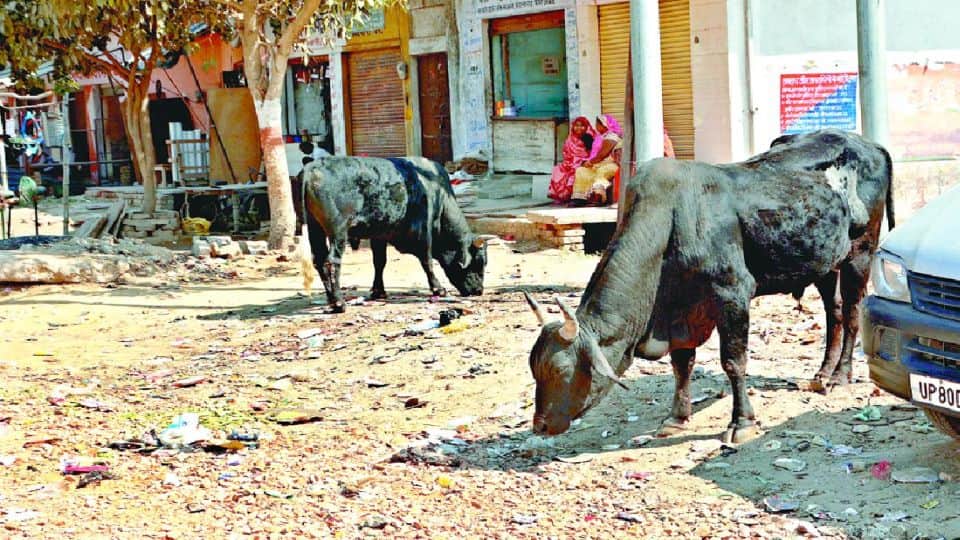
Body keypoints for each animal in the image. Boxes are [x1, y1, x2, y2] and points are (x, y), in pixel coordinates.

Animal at [300, 156, 492, 313]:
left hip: (315, 229)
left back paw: (331, 300)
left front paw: (378, 291)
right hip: (338, 231)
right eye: (479, 262)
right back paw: (339, 303)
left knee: (318, 260)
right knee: (331, 262)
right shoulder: (424, 231)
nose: (479, 291)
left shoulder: (379, 236)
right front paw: (438, 289)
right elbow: (427, 261)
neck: (441, 199)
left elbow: (379, 262)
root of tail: (313, 166)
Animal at [524, 129, 895, 443]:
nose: (539, 425)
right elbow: (681, 363)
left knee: (851, 313)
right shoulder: (681, 312)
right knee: (834, 313)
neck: (671, 221)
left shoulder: (732, 295)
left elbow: (733, 362)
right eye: (533, 366)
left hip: (860, 252)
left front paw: (741, 423)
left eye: (560, 369)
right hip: (824, 262)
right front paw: (676, 417)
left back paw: (840, 376)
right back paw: (822, 373)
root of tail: (870, 144)